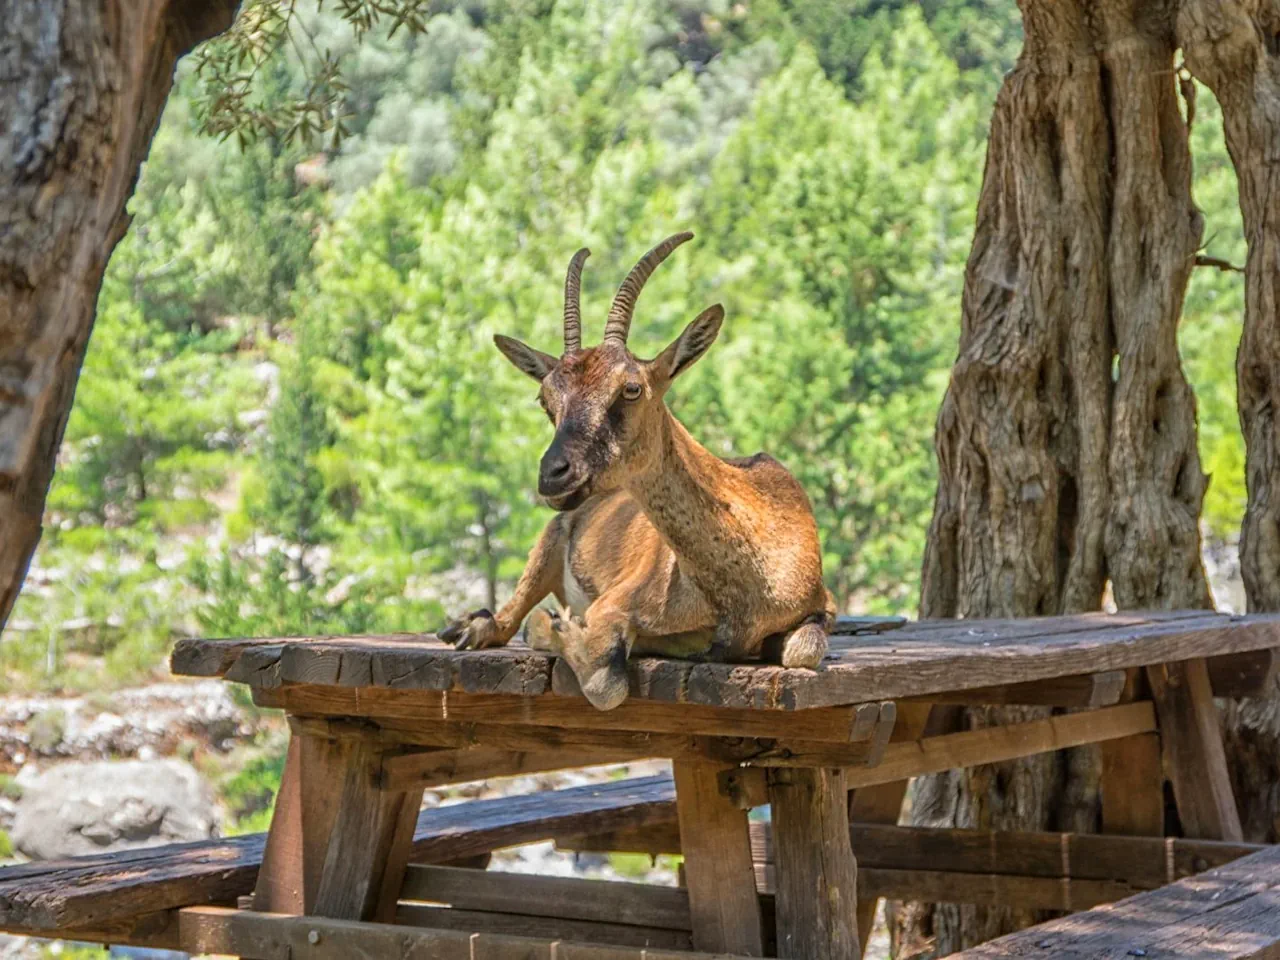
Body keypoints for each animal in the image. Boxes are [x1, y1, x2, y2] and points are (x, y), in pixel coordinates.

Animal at [440, 235, 834, 716]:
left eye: (631, 388)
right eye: (546, 399)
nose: (554, 474)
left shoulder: (820, 608)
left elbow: (804, 649)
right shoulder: (615, 604)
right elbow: (606, 681)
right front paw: (553, 630)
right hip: (551, 540)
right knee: (507, 614)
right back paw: (469, 627)